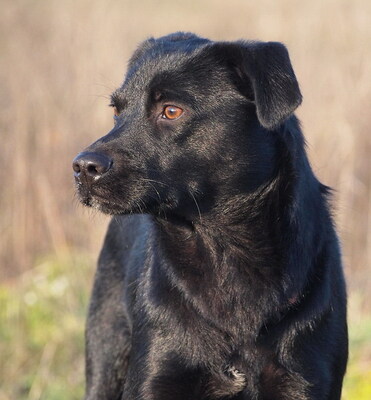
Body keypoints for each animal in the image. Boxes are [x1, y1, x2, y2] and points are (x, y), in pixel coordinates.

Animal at [73, 33, 348, 400]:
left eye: (171, 110)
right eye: (117, 110)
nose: (82, 167)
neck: (223, 250)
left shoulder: (303, 380)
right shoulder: (155, 374)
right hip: (107, 353)